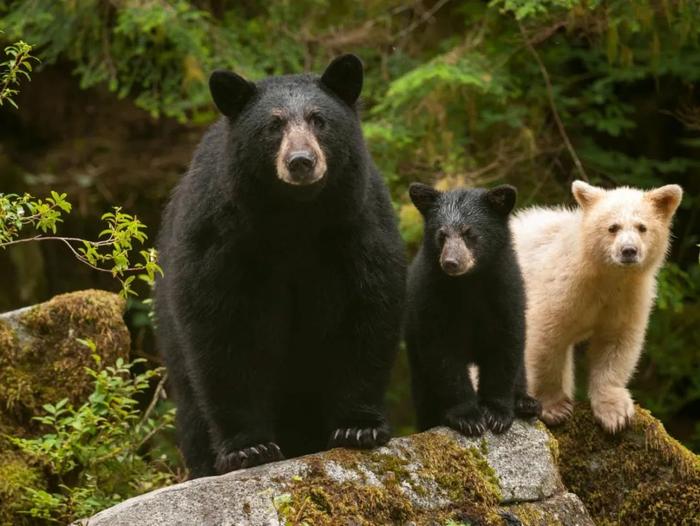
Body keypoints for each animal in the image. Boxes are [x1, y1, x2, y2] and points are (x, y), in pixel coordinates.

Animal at [153, 55, 404, 480]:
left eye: (319, 119)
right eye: (273, 125)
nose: (301, 162)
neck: (294, 217)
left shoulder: (357, 225)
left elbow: (366, 312)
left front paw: (359, 427)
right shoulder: (221, 236)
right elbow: (222, 330)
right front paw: (248, 448)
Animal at [404, 184, 540, 440]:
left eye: (469, 233)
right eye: (442, 234)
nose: (451, 262)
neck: (469, 283)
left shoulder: (506, 292)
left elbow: (506, 347)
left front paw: (496, 413)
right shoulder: (431, 298)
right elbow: (443, 356)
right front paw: (468, 418)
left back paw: (526, 403)